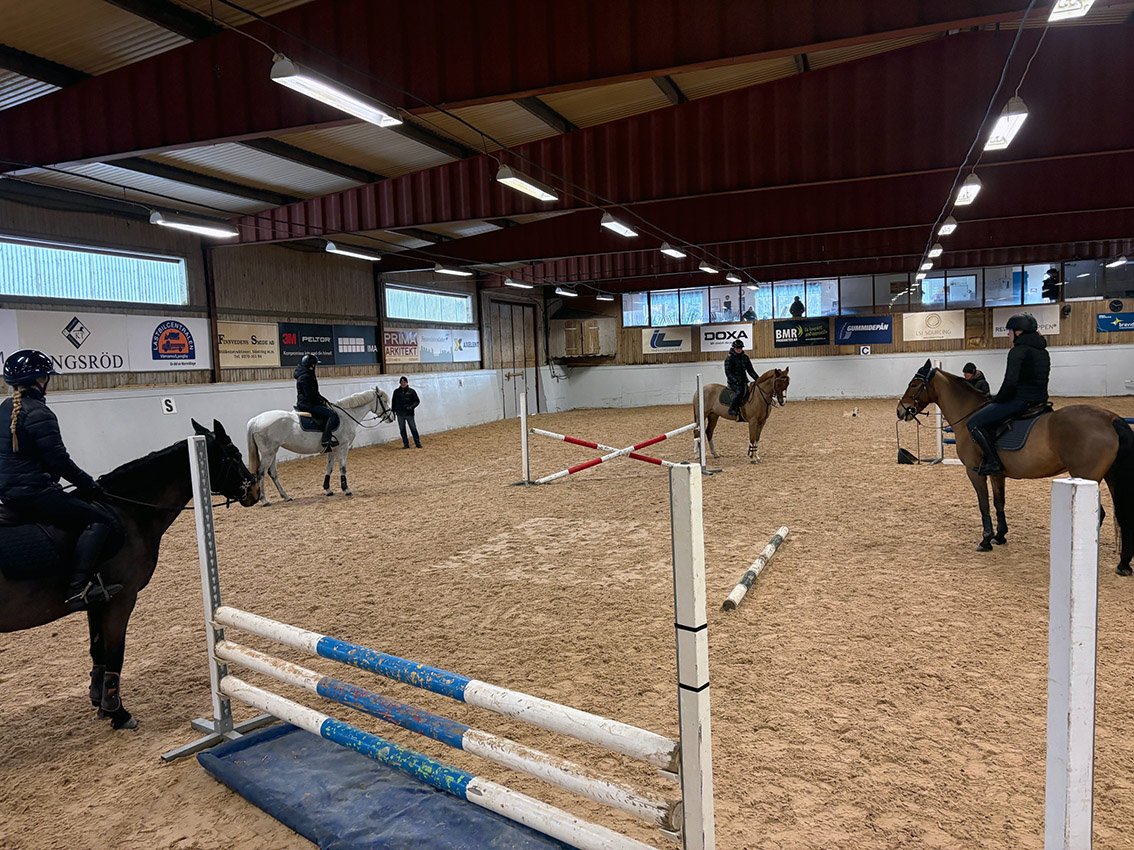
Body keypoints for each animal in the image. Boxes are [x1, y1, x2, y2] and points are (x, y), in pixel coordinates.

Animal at [0, 419, 258, 730]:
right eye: (234, 454)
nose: (255, 491)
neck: (128, 511)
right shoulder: (121, 599)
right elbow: (115, 652)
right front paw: (117, 711)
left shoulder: (96, 601)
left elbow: (97, 650)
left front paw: (99, 701)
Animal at [246, 386, 394, 505]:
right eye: (384, 401)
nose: (391, 417)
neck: (346, 417)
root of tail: (256, 420)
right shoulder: (343, 447)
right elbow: (343, 468)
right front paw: (346, 489)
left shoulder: (332, 449)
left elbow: (329, 468)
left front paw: (328, 489)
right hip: (268, 453)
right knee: (261, 473)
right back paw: (264, 500)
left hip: (273, 452)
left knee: (272, 473)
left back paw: (286, 496)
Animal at [897, 359, 1134, 574]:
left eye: (914, 384)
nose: (901, 411)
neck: (969, 415)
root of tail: (1111, 419)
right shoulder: (996, 473)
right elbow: (999, 502)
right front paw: (1000, 536)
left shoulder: (974, 472)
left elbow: (983, 504)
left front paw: (985, 540)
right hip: (1110, 477)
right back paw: (1123, 564)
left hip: (1086, 477)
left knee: (1099, 514)